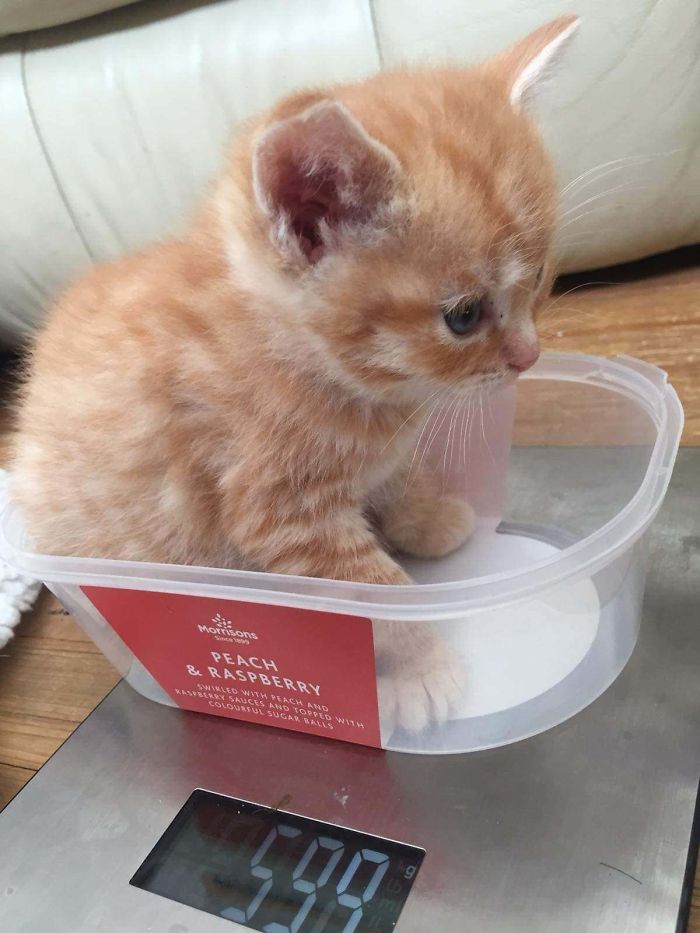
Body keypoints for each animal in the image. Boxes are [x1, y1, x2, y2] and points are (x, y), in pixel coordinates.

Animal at [10, 10, 580, 732]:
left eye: (538, 278)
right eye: (463, 316)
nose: (529, 357)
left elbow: (397, 476)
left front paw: (425, 517)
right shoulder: (283, 515)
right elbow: (376, 598)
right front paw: (421, 665)